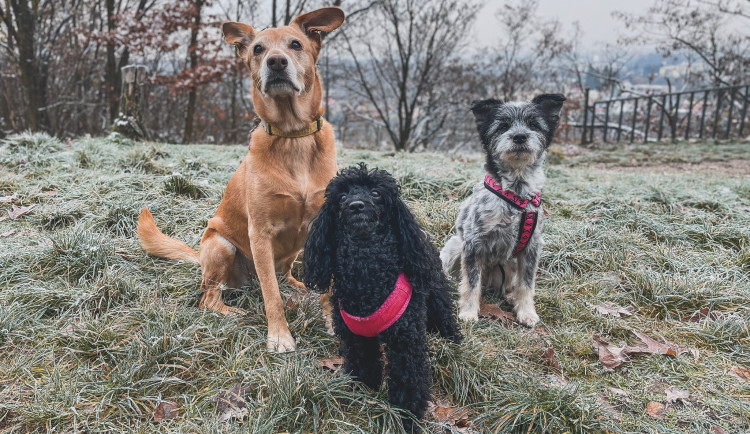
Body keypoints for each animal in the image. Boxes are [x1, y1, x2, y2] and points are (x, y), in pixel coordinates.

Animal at [137, 6, 346, 352]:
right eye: (258, 49)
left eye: (295, 44)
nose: (276, 62)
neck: (292, 136)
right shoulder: (260, 233)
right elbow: (271, 295)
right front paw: (279, 336)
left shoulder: (326, 224)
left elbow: (329, 286)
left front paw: (334, 322)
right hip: (221, 246)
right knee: (210, 298)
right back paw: (234, 313)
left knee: (284, 277)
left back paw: (300, 287)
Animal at [302, 164, 462, 432]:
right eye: (341, 197)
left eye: (376, 193)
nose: (356, 205)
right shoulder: (356, 338)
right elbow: (364, 364)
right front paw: (365, 392)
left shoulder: (406, 340)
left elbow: (409, 380)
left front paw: (407, 416)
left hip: (436, 294)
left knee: (445, 318)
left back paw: (454, 343)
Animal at [440, 94, 564, 326]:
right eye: (503, 126)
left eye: (534, 125)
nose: (519, 137)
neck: (516, 195)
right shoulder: (473, 244)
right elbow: (471, 283)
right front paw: (468, 312)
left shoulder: (531, 248)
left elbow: (526, 284)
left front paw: (526, 312)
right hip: (454, 246)